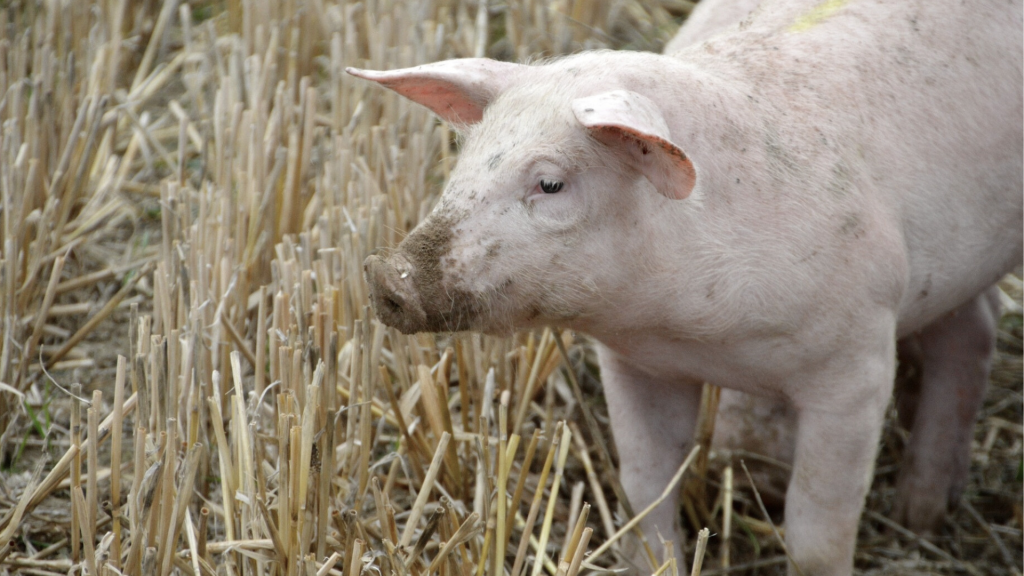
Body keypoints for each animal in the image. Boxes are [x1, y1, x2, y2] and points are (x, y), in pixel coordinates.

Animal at [349, 0, 1023, 573]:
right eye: (463, 163)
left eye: (550, 183)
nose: (387, 275)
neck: (696, 332)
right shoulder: (635, 363)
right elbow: (645, 493)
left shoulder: (857, 364)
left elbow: (816, 531)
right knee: (973, 326)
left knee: (974, 335)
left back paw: (920, 513)